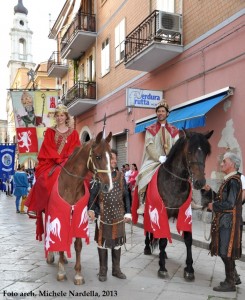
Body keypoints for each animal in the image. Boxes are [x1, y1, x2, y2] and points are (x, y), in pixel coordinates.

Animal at [45, 131, 112, 284]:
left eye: (110, 156)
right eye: (98, 156)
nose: (108, 186)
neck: (71, 185)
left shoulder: (79, 217)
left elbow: (78, 245)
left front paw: (78, 274)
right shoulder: (60, 215)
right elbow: (60, 239)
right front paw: (61, 272)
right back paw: (51, 256)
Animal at [144, 130, 212, 280]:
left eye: (205, 152)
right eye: (189, 151)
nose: (200, 182)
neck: (174, 181)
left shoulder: (185, 213)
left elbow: (188, 239)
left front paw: (189, 269)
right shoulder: (163, 211)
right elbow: (163, 240)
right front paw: (162, 268)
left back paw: (163, 253)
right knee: (148, 229)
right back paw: (147, 248)